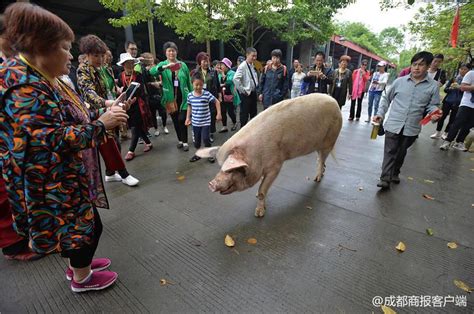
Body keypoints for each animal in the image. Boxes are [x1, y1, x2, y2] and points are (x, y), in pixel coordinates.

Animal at [196, 92, 340, 217]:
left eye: (232, 170)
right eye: (221, 168)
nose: (211, 184)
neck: (254, 156)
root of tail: (335, 102)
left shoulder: (275, 166)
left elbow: (262, 190)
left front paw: (259, 214)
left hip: (330, 139)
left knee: (321, 160)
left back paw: (317, 179)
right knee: (320, 159)